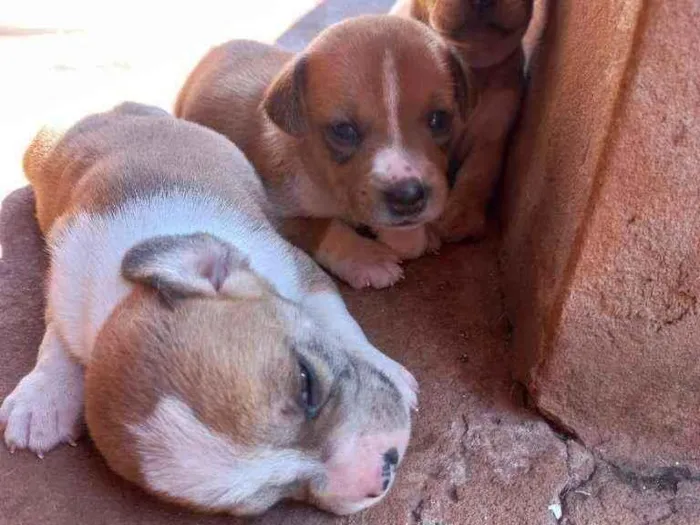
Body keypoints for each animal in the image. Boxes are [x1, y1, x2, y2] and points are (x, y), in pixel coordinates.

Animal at [0, 102, 416, 516]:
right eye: (270, 501)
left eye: (306, 381)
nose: (384, 470)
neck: (124, 293)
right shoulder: (64, 289)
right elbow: (56, 339)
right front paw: (44, 396)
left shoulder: (299, 270)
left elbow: (339, 323)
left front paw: (386, 367)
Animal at [175, 15, 470, 286]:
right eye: (343, 130)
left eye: (439, 119)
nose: (408, 197)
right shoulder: (276, 212)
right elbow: (324, 226)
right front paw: (367, 257)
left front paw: (409, 235)